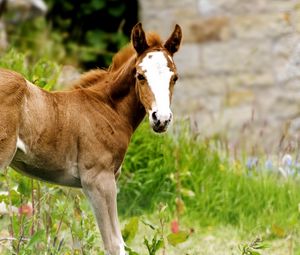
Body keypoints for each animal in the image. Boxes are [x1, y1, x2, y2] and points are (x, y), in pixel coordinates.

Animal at [0, 22, 182, 254]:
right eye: (140, 76)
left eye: (174, 77)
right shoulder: (97, 179)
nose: (162, 119)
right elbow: (115, 244)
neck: (107, 107)